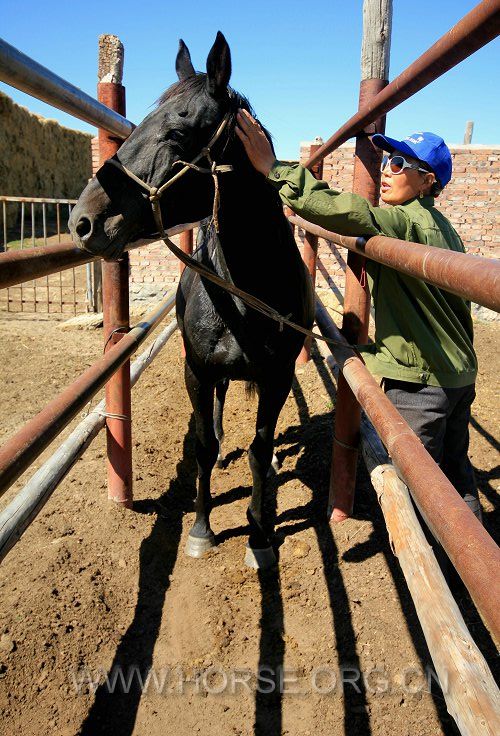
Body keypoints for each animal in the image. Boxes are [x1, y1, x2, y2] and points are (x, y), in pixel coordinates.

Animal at [69, 31, 312, 568]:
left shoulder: (277, 377)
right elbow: (202, 445)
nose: (83, 221)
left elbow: (260, 450)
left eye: (178, 132)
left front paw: (260, 536)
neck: (246, 294)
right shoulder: (196, 370)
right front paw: (201, 529)